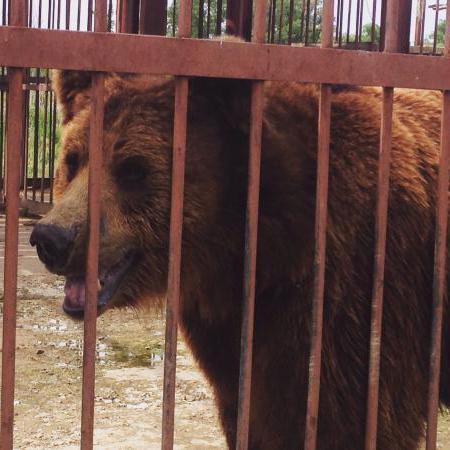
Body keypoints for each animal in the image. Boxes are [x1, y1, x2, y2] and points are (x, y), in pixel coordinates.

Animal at [29, 71, 448, 450]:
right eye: (73, 160)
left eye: (133, 169)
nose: (52, 238)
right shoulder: (233, 334)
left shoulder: (358, 299)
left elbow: (354, 421)